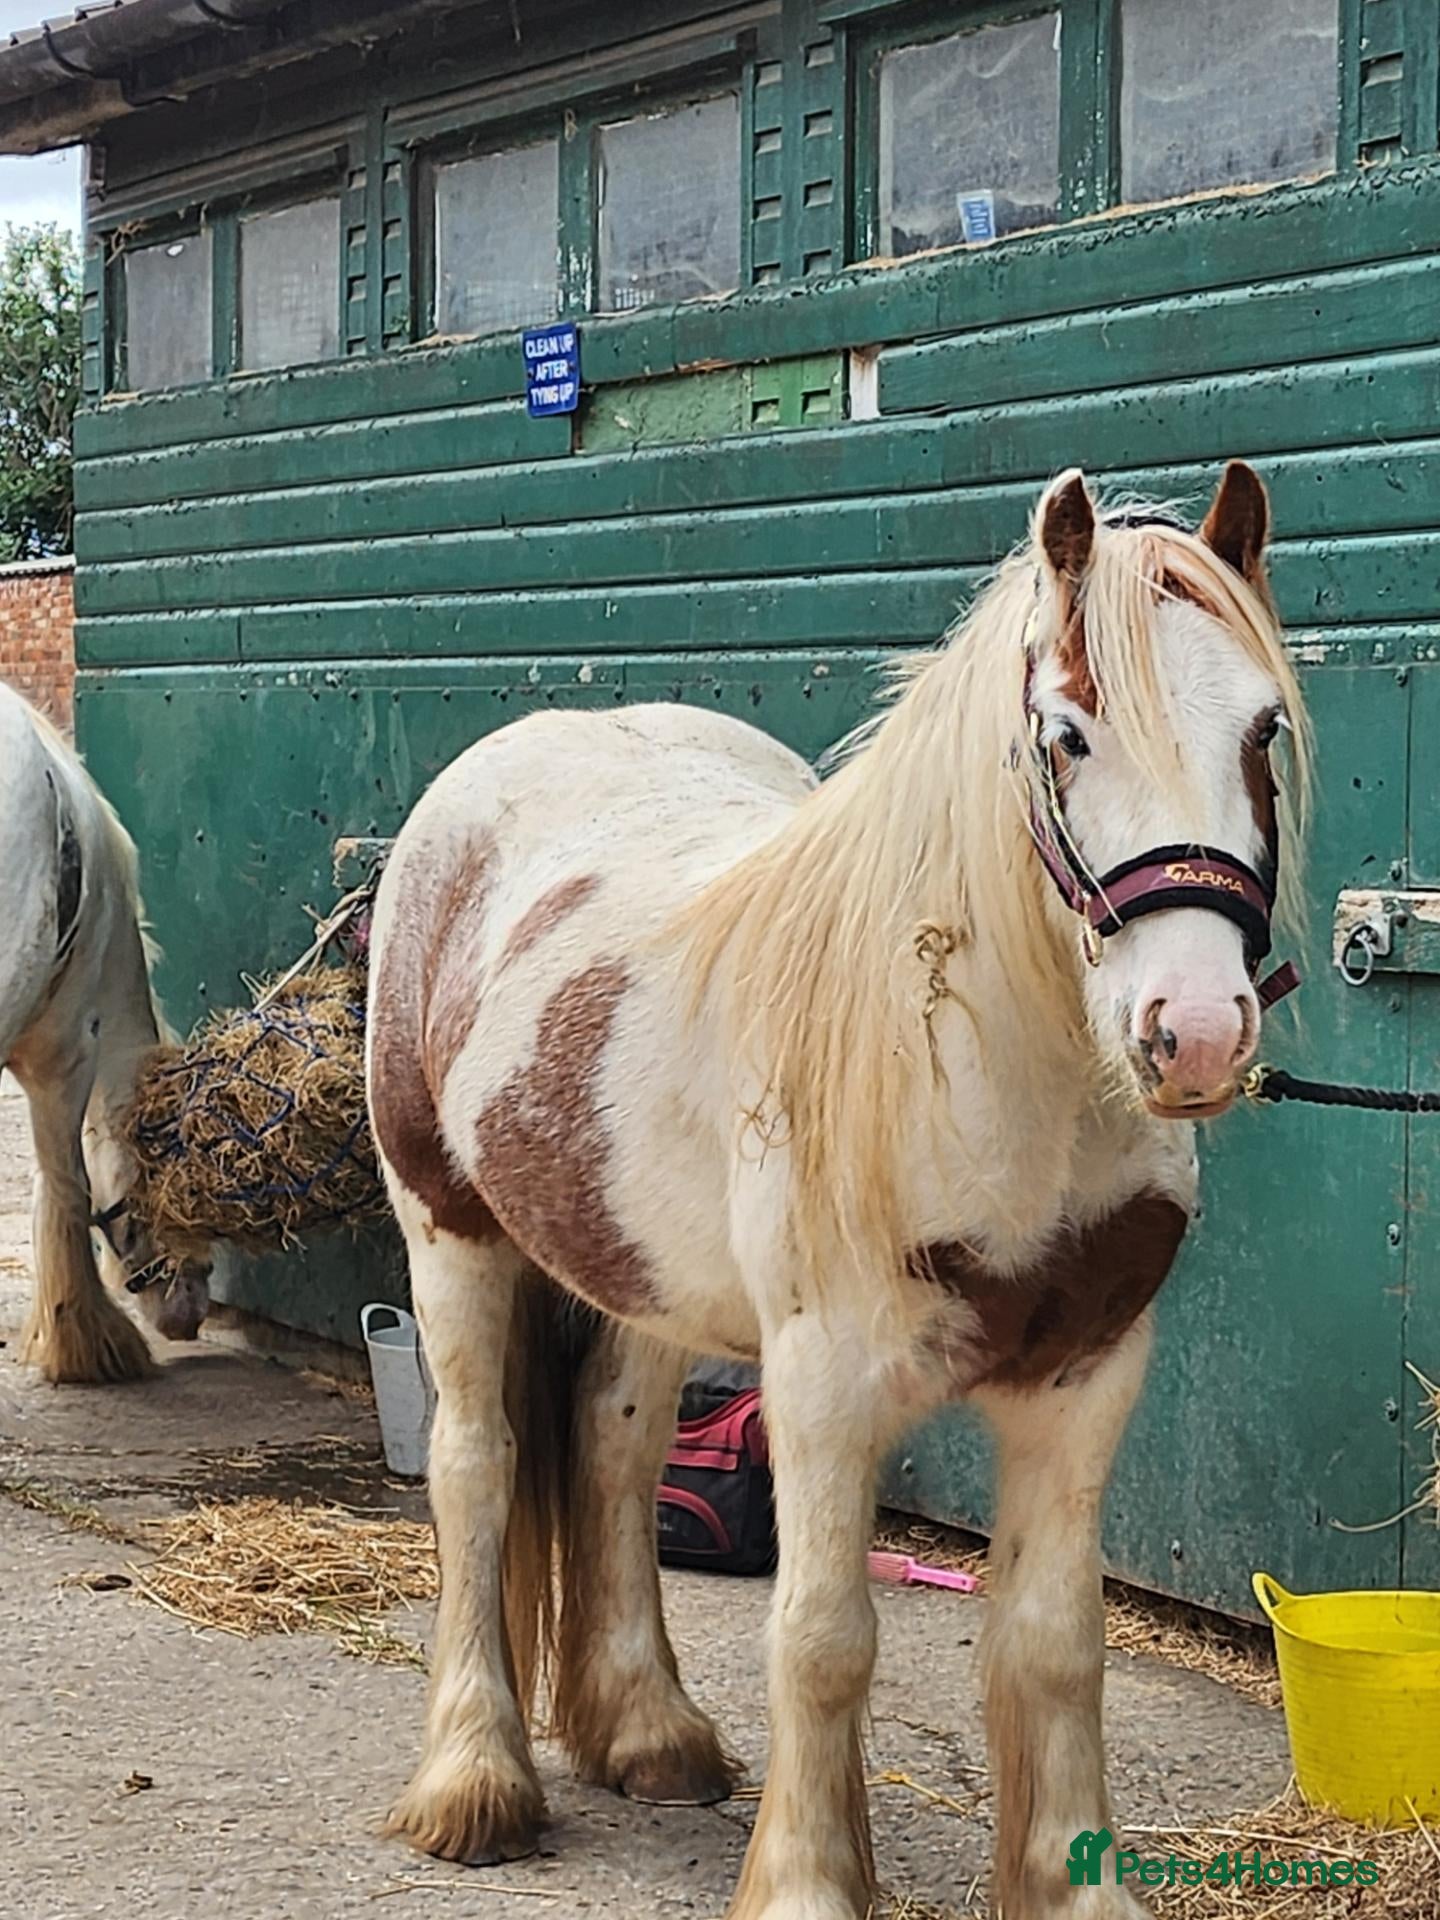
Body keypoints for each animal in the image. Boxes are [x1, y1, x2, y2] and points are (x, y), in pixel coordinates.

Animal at [365, 460, 1306, 1920]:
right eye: (1067, 734)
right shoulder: (824, 1383)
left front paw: (1076, 1887)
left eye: (1263, 727)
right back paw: (474, 1782)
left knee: (616, 1447)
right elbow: (821, 1640)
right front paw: (806, 1882)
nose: (1194, 1034)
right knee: (478, 1466)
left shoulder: (1084, 1382)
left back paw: (650, 1731)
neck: (990, 1082)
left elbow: (1056, 1645)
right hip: (449, 1232)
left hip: (640, 1272)